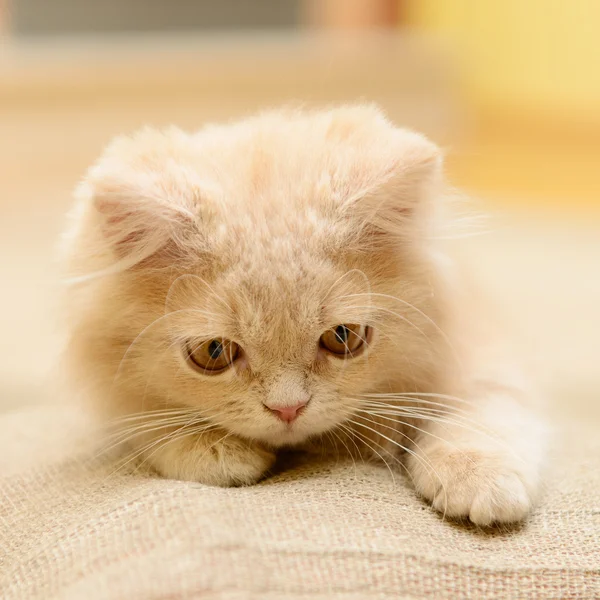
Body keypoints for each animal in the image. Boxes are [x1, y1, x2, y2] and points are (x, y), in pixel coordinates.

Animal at [63, 106, 548, 524]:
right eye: (214, 352)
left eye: (343, 337)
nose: (288, 409)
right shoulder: (111, 386)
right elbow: (144, 418)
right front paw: (213, 451)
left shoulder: (478, 345)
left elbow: (480, 409)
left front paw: (478, 477)